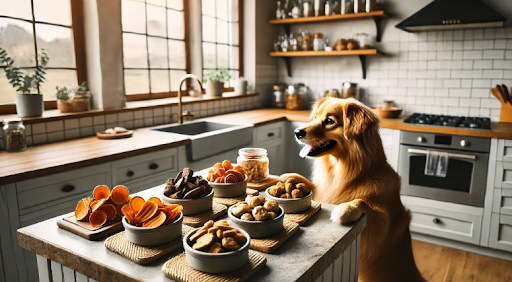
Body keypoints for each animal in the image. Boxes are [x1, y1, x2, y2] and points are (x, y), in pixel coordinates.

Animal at [280, 97, 424, 282]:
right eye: (315, 117)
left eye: (329, 121)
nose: (297, 132)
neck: (353, 175)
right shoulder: (325, 190)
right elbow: (312, 186)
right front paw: (287, 177)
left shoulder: (380, 232)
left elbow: (366, 204)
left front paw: (347, 208)